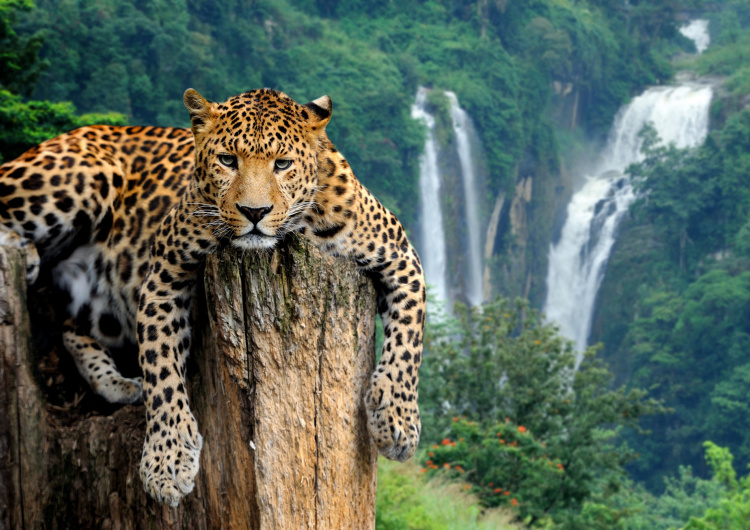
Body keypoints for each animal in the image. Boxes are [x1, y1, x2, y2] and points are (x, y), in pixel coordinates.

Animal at [0, 87, 426, 506]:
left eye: (283, 164)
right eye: (227, 160)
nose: (255, 211)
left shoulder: (401, 256)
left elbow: (408, 342)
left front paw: (397, 422)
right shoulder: (164, 273)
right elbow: (161, 367)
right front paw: (167, 462)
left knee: (70, 328)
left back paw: (117, 383)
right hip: (83, 175)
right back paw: (23, 254)